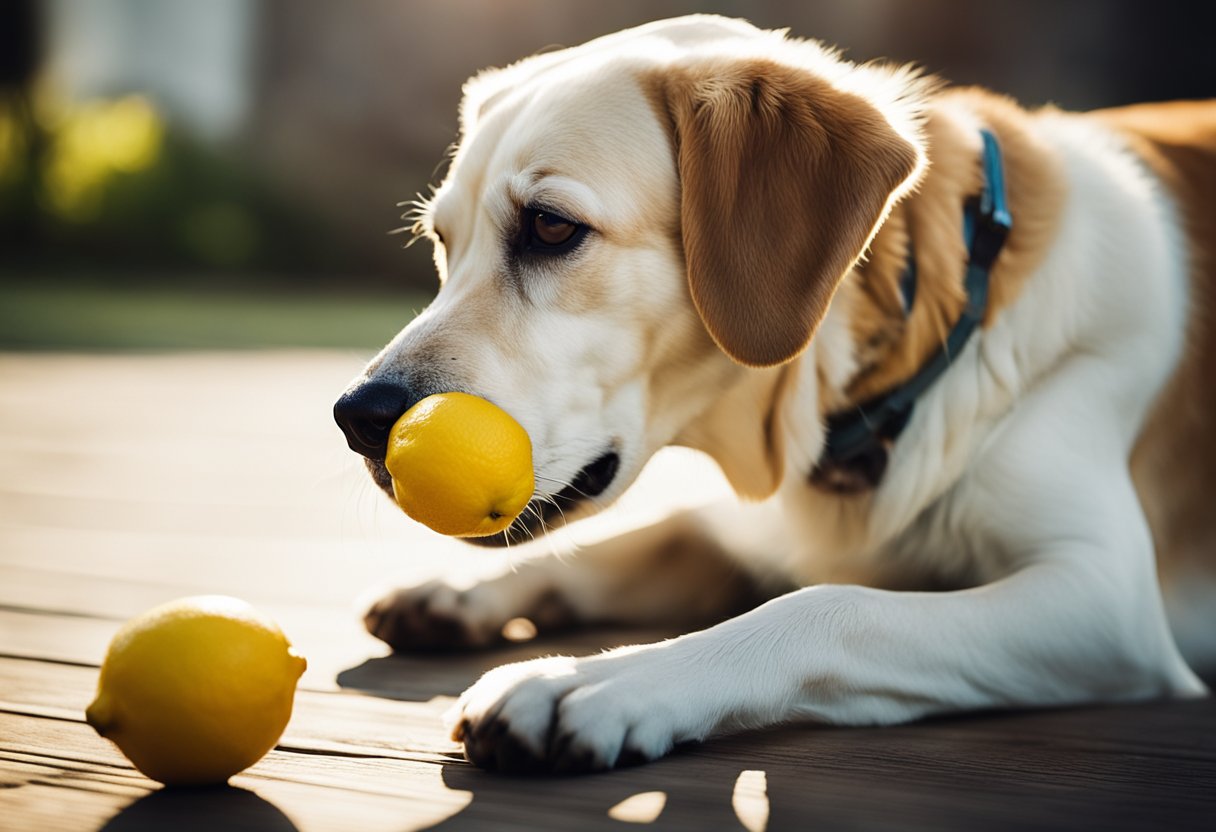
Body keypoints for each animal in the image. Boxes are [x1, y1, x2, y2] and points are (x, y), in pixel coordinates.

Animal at [333, 14, 1216, 773]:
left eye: (551, 227)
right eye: (443, 241)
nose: (357, 418)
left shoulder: (1106, 604)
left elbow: (831, 605)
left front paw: (597, 680)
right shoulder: (743, 527)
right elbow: (632, 541)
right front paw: (459, 594)